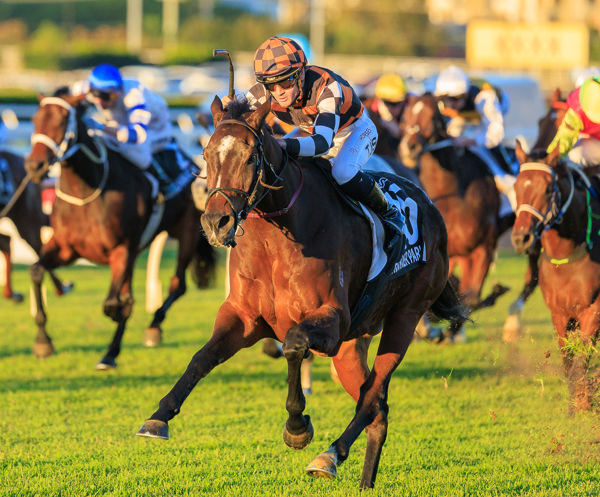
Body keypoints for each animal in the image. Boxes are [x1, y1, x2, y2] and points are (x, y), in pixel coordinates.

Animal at [26, 92, 218, 368]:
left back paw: (152, 328)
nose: (35, 166)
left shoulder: (121, 250)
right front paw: (43, 341)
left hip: (187, 231)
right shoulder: (65, 249)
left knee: (177, 285)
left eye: (63, 120)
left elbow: (111, 303)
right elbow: (36, 271)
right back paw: (110, 353)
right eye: (35, 119)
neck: (86, 192)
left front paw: (119, 311)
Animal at [137, 97, 468, 488]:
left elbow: (294, 345)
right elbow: (202, 358)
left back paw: (329, 455)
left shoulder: (332, 321)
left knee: (373, 395)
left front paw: (297, 428)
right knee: (377, 407)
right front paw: (158, 416)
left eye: (250, 156)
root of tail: (429, 205)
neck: (277, 237)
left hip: (405, 316)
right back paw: (364, 481)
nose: (215, 222)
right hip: (351, 347)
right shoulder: (244, 318)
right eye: (206, 153)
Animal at [508, 143, 600, 410]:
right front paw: (576, 405)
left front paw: (583, 404)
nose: (521, 238)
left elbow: (579, 365)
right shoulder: (559, 314)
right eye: (516, 186)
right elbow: (569, 365)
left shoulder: (593, 310)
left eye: (548, 188)